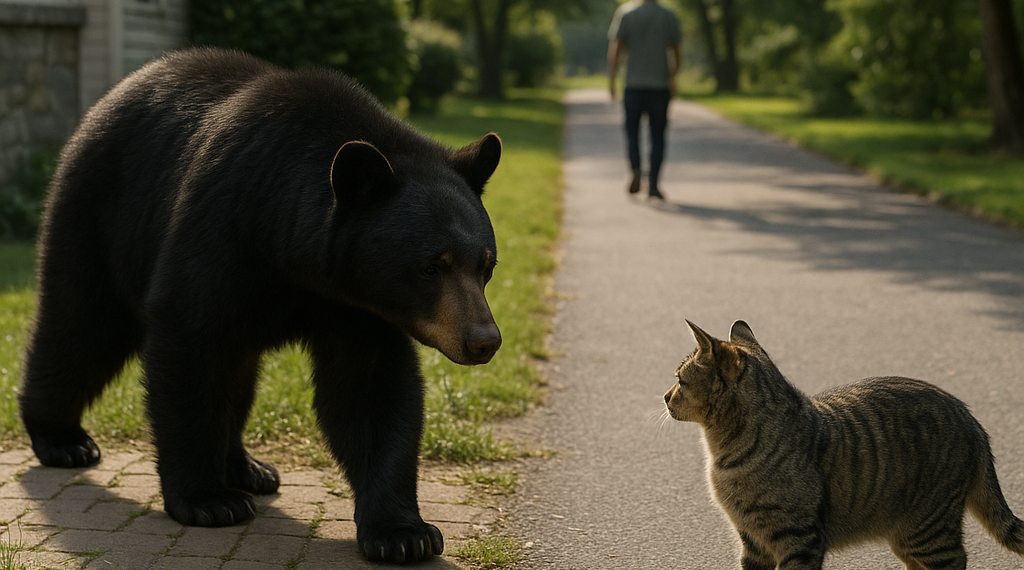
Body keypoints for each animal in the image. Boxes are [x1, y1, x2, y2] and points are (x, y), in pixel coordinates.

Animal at [18, 47, 502, 563]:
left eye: (485, 264)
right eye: (431, 266)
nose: (483, 340)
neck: (289, 249)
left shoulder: (359, 304)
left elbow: (371, 389)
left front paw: (403, 533)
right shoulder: (221, 229)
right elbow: (186, 344)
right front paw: (207, 500)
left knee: (235, 375)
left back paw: (247, 467)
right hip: (98, 218)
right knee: (81, 328)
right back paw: (63, 440)